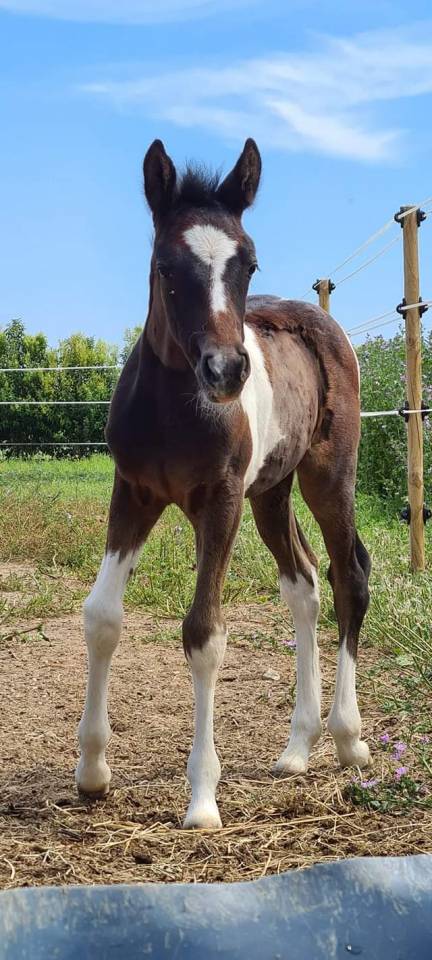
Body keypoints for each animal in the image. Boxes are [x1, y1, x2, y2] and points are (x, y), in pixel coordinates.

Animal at [75, 138, 371, 829]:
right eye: (164, 264)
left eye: (250, 263)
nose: (227, 370)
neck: (174, 408)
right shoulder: (134, 493)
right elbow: (102, 616)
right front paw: (93, 770)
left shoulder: (220, 501)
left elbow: (205, 632)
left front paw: (203, 798)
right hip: (272, 492)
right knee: (304, 584)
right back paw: (297, 748)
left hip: (327, 478)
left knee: (347, 578)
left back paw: (347, 738)